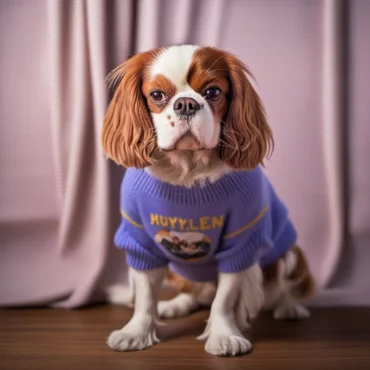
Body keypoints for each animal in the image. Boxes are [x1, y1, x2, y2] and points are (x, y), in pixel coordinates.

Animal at [102, 44, 316, 356]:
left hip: (290, 255)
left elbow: (224, 299)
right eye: (157, 95)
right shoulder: (140, 242)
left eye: (213, 92)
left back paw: (289, 307)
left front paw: (224, 335)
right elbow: (144, 295)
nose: (186, 104)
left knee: (281, 287)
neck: (187, 172)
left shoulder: (241, 243)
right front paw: (136, 332)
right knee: (195, 292)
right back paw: (176, 305)